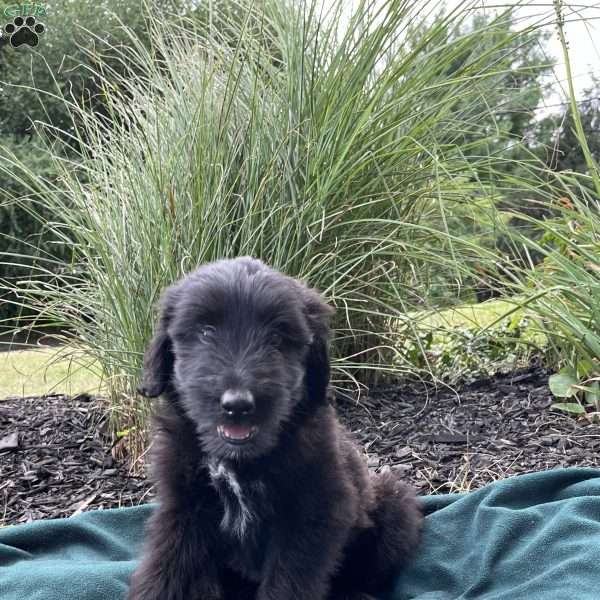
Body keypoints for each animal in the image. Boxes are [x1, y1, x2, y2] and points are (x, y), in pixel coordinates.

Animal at [129, 258, 422, 600]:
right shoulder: (185, 506)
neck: (238, 462)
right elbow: (171, 567)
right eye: (206, 331)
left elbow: (289, 580)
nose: (238, 404)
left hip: (394, 504)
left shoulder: (313, 513)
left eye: (278, 337)